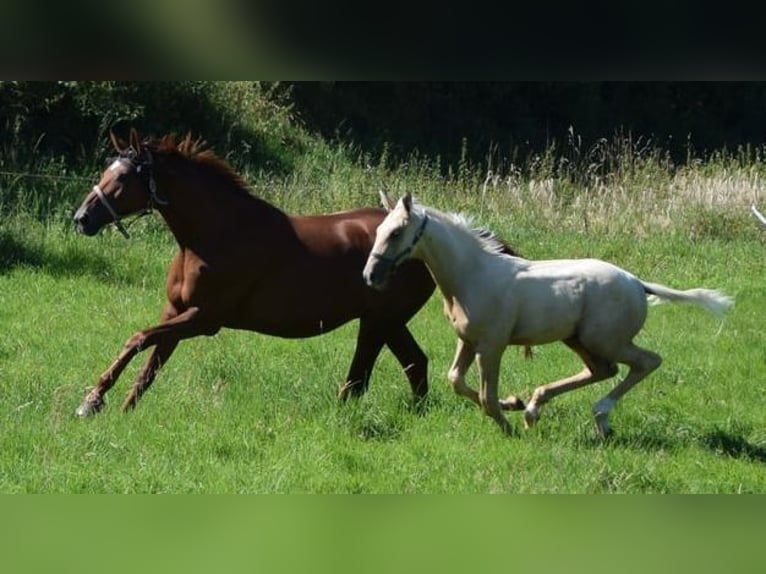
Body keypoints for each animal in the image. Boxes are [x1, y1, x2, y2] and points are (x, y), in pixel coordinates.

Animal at [73, 129, 444, 418]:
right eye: (106, 170)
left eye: (123, 177)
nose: (81, 219)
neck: (215, 233)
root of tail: (426, 242)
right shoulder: (175, 312)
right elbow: (148, 368)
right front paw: (117, 409)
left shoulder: (204, 319)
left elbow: (137, 339)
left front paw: (92, 401)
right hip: (386, 322)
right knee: (413, 364)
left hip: (379, 322)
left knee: (361, 379)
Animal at [364, 191, 736, 438]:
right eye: (378, 230)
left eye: (396, 232)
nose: (370, 276)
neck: (473, 275)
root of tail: (637, 283)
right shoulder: (467, 341)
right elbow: (456, 380)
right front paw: (514, 404)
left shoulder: (492, 345)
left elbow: (486, 396)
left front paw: (509, 426)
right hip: (578, 339)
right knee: (603, 370)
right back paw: (536, 408)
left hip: (606, 340)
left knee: (646, 362)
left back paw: (597, 414)